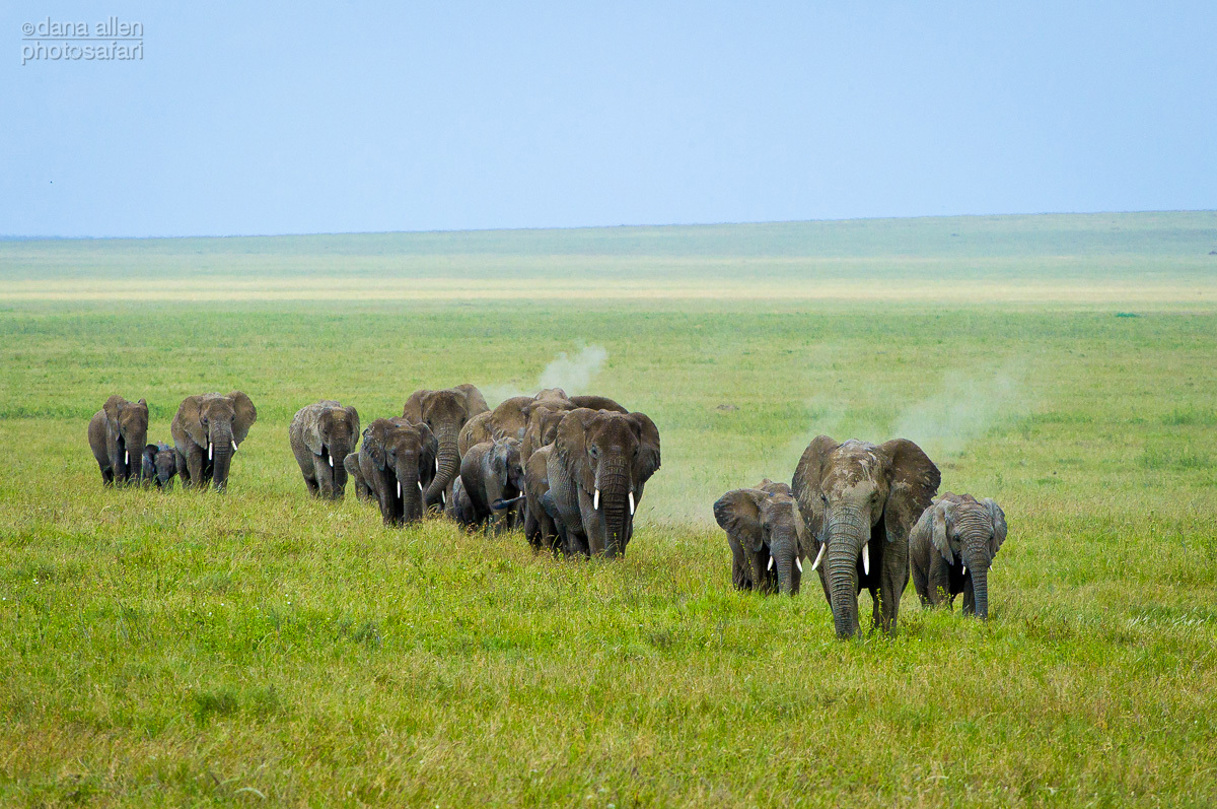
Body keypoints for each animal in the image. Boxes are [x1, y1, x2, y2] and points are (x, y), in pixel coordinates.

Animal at [546, 408, 661, 558]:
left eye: (636, 452)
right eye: (594, 451)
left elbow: (625, 517)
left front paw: (613, 562)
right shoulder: (582, 470)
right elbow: (594, 518)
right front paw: (604, 563)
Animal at [792, 436, 940, 639]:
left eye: (874, 499)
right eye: (823, 498)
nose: (855, 637)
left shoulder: (895, 514)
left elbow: (889, 574)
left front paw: (881, 638)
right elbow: (843, 575)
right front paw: (855, 639)